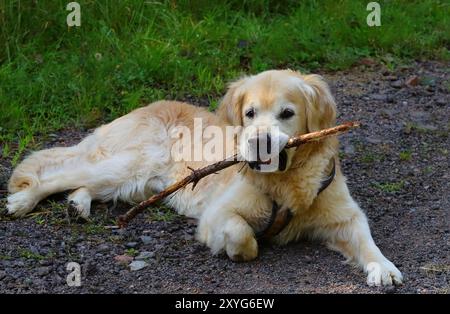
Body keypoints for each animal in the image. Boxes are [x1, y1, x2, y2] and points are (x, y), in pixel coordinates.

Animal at [6, 70, 400, 286]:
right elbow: (242, 235)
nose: (257, 142)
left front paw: (383, 267)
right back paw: (22, 201)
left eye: (287, 113)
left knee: (84, 184)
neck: (286, 180)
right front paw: (238, 250)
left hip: (135, 185)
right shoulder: (218, 213)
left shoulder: (345, 215)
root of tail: (148, 105)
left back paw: (78, 204)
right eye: (249, 113)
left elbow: (367, 241)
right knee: (54, 172)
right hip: (129, 164)